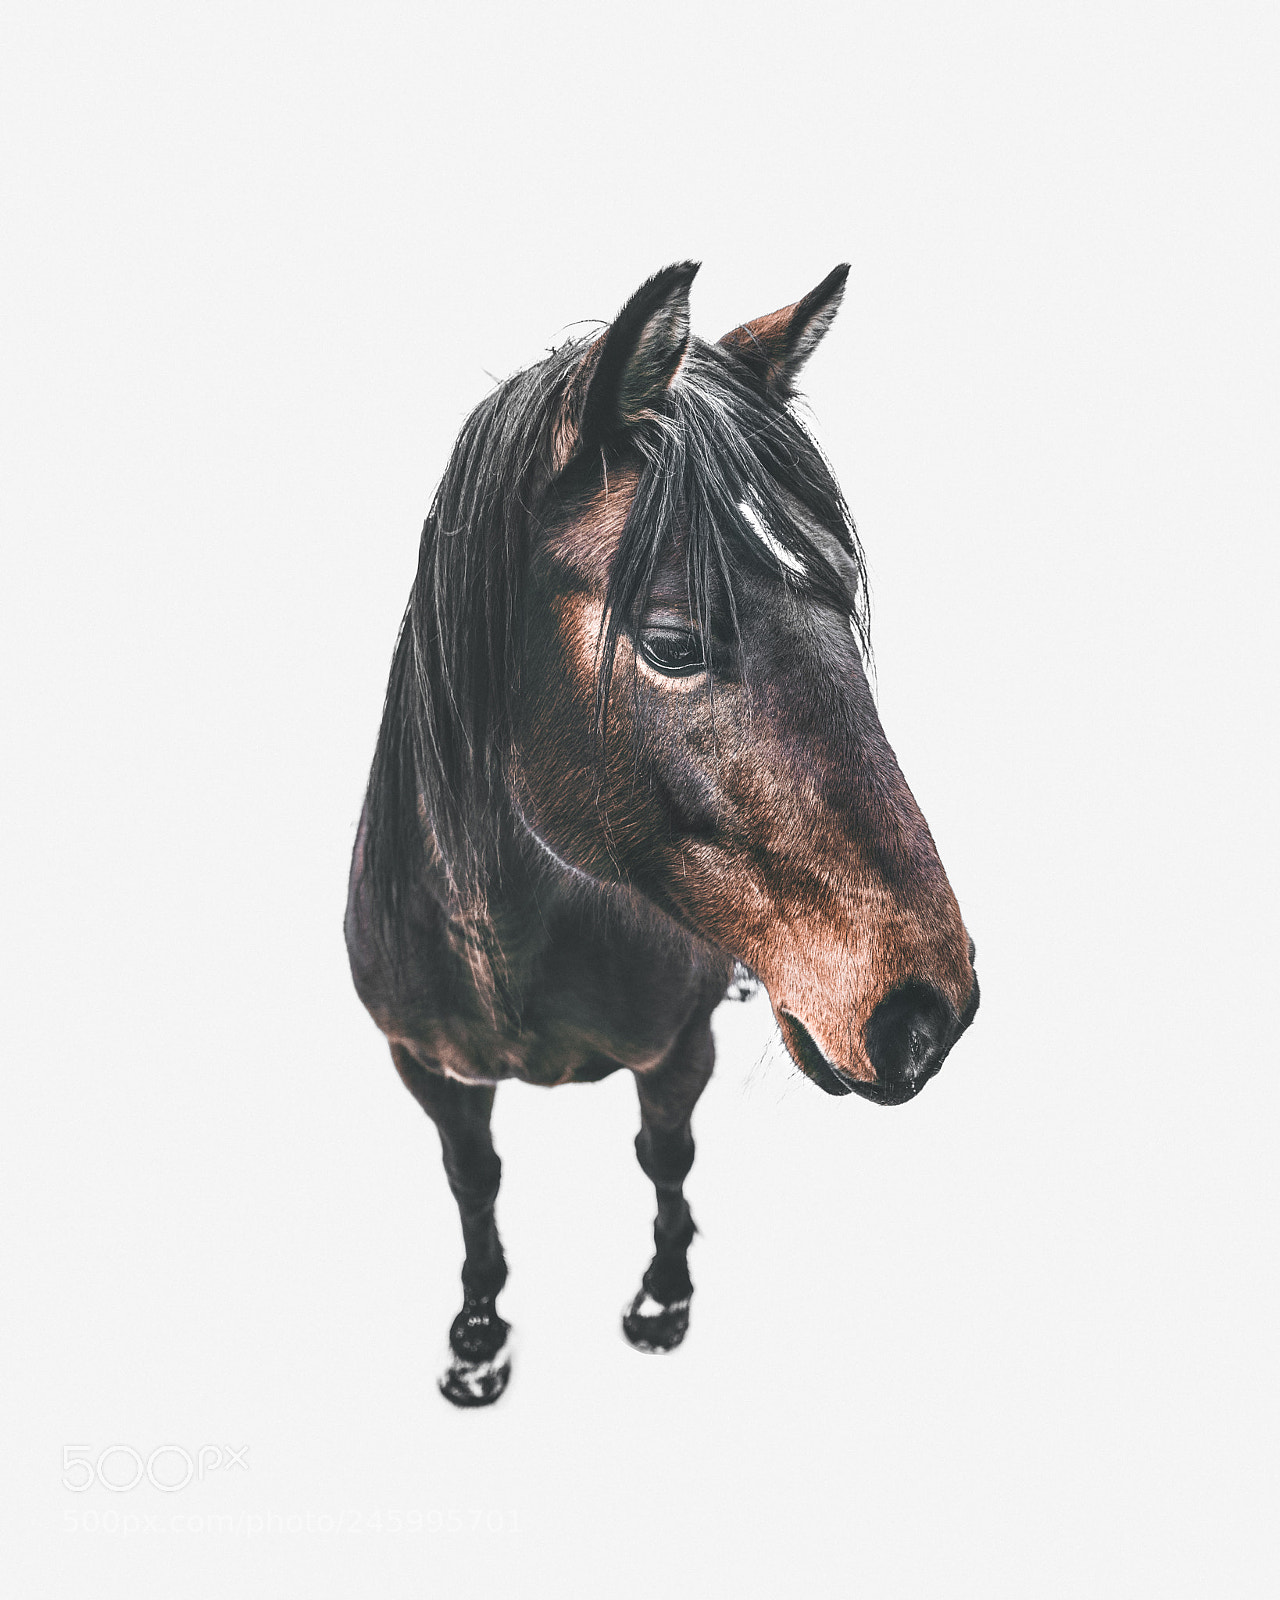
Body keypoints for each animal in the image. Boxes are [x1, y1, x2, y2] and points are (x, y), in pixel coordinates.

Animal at [345, 262, 980, 1406]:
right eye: (674, 642)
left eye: (843, 600)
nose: (925, 1014)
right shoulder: (427, 1066)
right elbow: (473, 1180)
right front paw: (479, 1331)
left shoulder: (678, 1047)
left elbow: (664, 1156)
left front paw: (663, 1297)